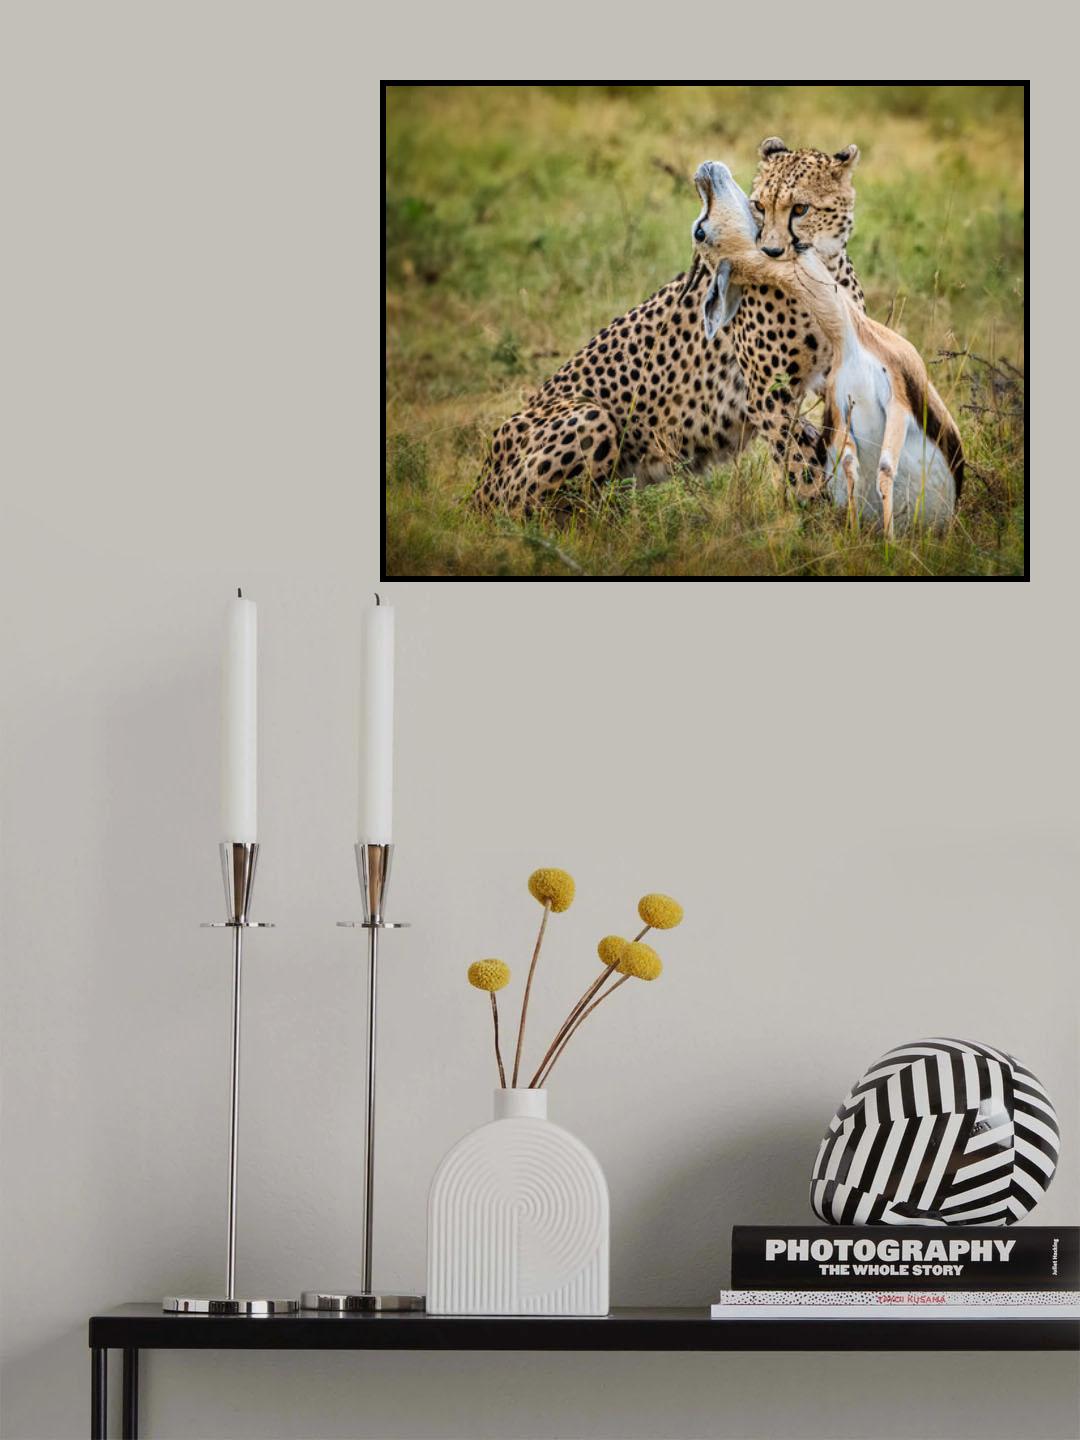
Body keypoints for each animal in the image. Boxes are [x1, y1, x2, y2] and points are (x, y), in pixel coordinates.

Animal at [472, 137, 865, 514]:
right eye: (759, 206)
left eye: (800, 209)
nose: (769, 252)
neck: (819, 274)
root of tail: (476, 491)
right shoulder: (769, 395)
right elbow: (800, 466)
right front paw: (818, 522)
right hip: (589, 416)